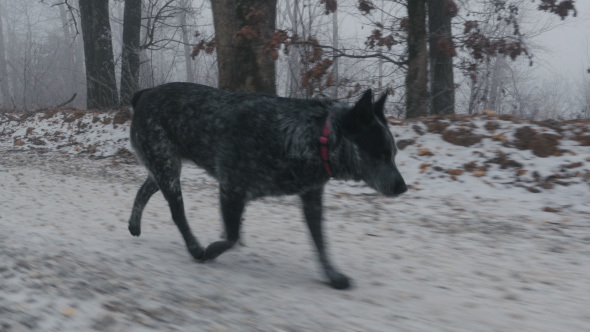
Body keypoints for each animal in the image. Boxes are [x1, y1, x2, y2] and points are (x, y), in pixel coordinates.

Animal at [128, 81, 408, 290]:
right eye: (381, 154)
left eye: (393, 154)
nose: (403, 187)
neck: (309, 137)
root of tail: (143, 94)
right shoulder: (231, 189)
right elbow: (231, 237)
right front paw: (211, 250)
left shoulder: (311, 199)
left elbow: (321, 242)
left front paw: (333, 276)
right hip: (167, 168)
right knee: (178, 213)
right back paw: (195, 248)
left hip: (163, 167)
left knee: (143, 190)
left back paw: (134, 225)